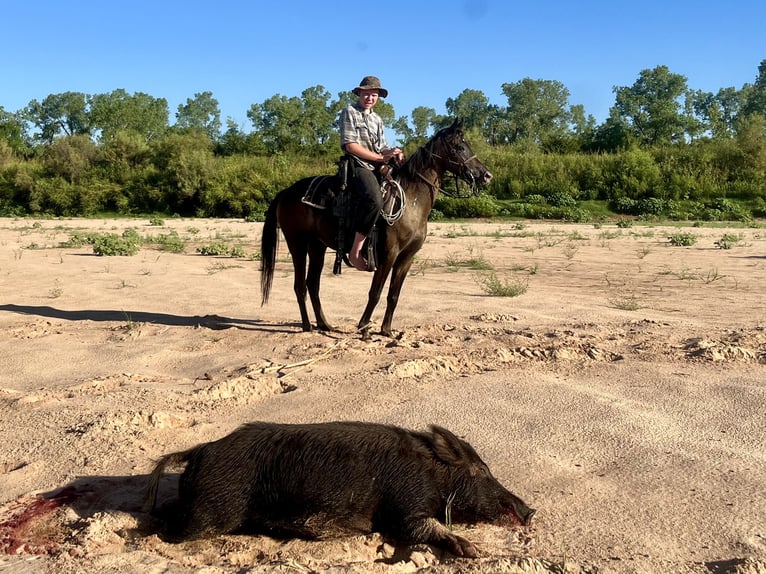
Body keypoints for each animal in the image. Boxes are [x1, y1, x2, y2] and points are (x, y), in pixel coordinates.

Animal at [260, 120, 496, 338]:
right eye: (459, 147)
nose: (486, 176)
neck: (411, 200)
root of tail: (287, 192)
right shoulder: (388, 255)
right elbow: (375, 292)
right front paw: (364, 326)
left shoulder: (406, 257)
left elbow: (393, 294)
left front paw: (386, 330)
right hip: (297, 243)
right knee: (300, 285)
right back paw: (308, 326)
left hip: (317, 246)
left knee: (312, 284)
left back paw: (324, 325)